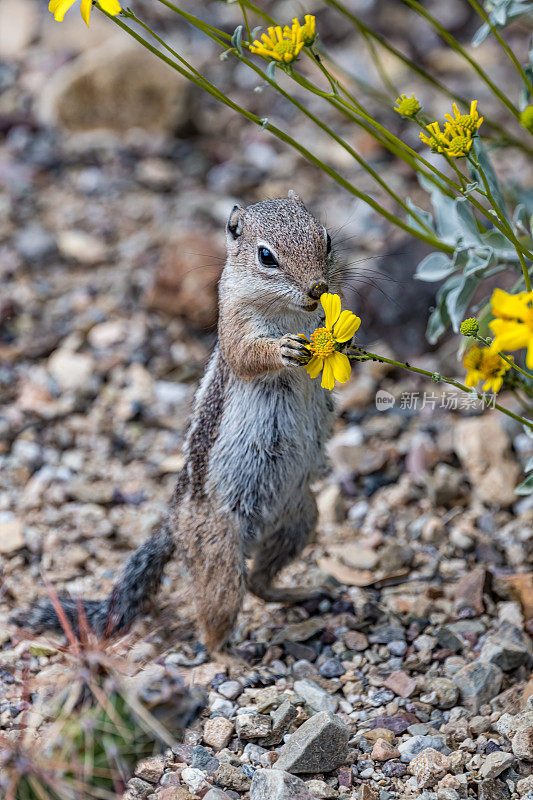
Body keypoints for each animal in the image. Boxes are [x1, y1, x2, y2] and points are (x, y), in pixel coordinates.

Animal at [14, 192, 342, 656]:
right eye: (266, 256)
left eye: (325, 238)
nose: (318, 289)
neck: (293, 315)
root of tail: (174, 524)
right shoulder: (235, 328)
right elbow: (248, 355)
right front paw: (284, 349)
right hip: (220, 551)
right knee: (217, 618)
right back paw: (233, 655)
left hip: (301, 518)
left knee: (260, 583)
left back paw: (301, 592)